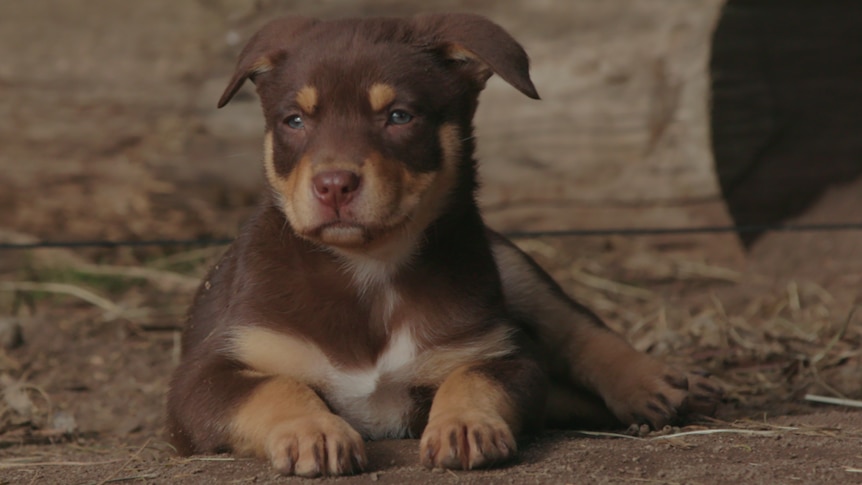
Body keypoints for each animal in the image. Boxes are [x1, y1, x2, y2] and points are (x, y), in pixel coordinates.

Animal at [167, 12, 724, 476]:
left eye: (399, 117)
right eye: (295, 121)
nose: (333, 185)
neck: (368, 268)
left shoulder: (501, 352)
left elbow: (473, 377)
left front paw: (463, 427)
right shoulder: (206, 377)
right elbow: (275, 386)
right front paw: (314, 433)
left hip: (512, 265)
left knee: (576, 326)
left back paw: (656, 383)